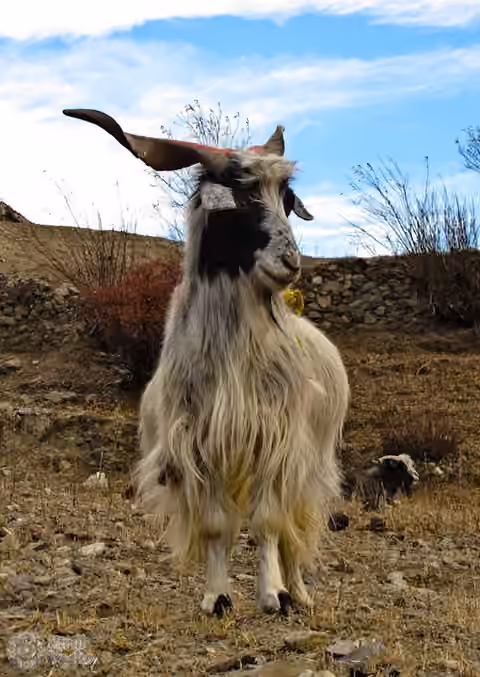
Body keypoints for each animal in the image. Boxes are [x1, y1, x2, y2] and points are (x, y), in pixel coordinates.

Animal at [63, 108, 350, 617]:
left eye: (287, 200)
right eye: (240, 197)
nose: (290, 263)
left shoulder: (276, 443)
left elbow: (268, 524)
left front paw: (273, 594)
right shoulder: (199, 445)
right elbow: (218, 525)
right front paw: (217, 597)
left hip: (310, 462)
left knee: (295, 528)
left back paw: (298, 592)